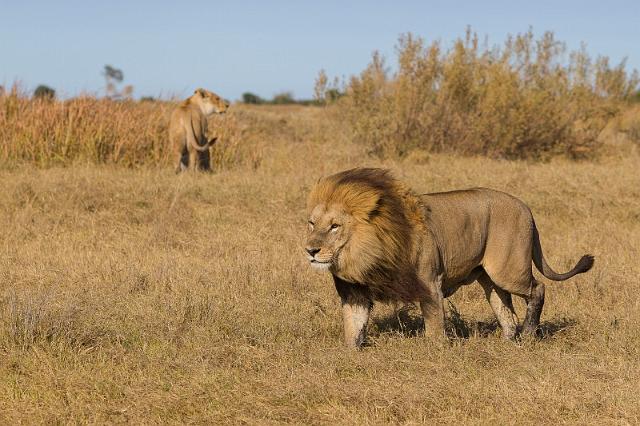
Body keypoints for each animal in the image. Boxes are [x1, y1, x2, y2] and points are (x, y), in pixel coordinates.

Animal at [304, 168, 596, 348]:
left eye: (334, 226)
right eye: (312, 223)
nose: (310, 250)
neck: (364, 255)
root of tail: (525, 207)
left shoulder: (429, 282)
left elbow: (434, 326)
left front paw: (436, 354)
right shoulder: (355, 292)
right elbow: (352, 328)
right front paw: (350, 354)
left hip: (508, 270)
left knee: (538, 288)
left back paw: (528, 333)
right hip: (490, 278)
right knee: (505, 307)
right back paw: (509, 341)